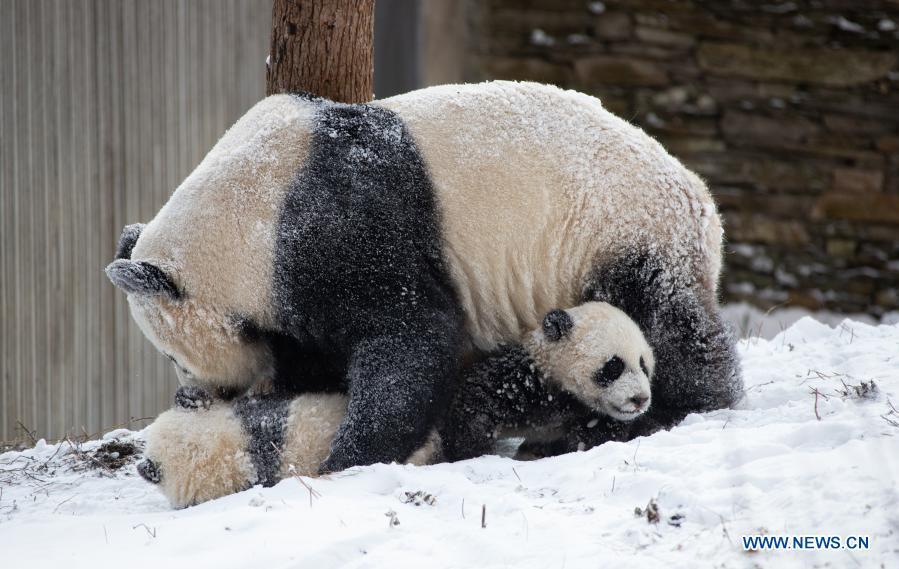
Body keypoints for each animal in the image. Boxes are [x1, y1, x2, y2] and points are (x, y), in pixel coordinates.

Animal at [105, 80, 740, 470]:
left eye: (172, 355)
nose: (200, 393)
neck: (247, 217)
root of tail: (701, 199)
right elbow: (311, 357)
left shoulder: (336, 228)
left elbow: (410, 335)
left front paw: (349, 456)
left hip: (623, 230)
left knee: (668, 323)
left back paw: (677, 409)